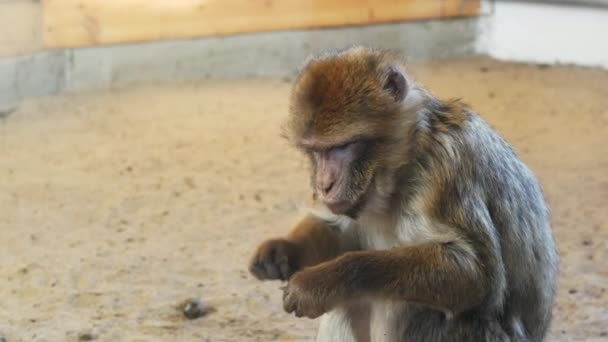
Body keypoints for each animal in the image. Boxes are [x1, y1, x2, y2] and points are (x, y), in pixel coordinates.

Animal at [247, 46, 556, 342]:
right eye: (315, 151)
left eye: (342, 147)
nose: (324, 184)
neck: (402, 169)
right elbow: (340, 231)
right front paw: (282, 251)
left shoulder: (444, 171)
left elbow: (475, 274)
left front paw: (322, 283)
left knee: (404, 304)